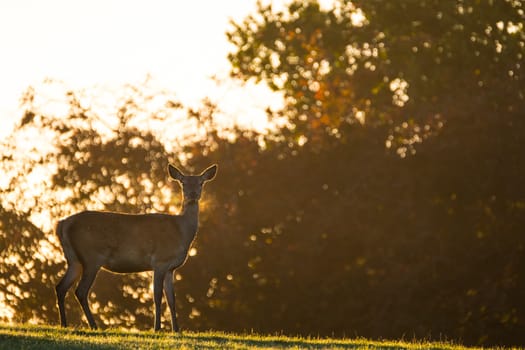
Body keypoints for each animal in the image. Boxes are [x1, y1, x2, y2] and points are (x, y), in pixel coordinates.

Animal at [53, 163, 217, 332]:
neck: (181, 232)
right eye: (183, 182)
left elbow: (172, 299)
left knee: (61, 287)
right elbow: (157, 296)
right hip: (91, 257)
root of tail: (62, 225)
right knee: (80, 291)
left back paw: (64, 324)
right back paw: (93, 325)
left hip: (74, 260)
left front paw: (176, 330)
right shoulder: (160, 261)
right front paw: (157, 328)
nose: (192, 194)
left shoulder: (171, 268)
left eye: (201, 183)